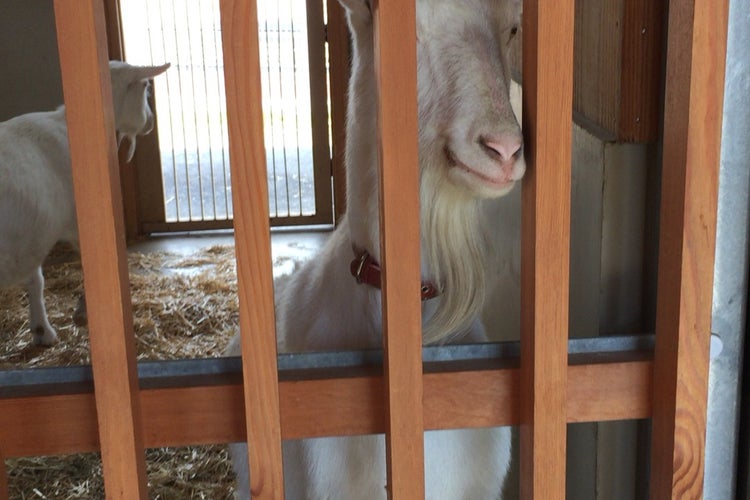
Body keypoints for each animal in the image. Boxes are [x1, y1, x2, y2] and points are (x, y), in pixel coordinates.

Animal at [0, 60, 170, 346]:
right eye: (146, 86)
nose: (151, 121)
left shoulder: (33, 235)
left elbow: (36, 278)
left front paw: (41, 330)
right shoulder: (79, 222)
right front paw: (80, 312)